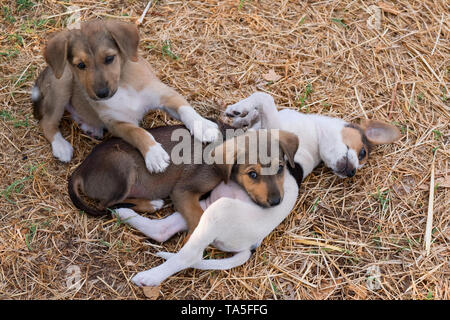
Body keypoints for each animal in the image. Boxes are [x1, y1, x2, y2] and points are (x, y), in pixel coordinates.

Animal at [31, 19, 218, 172]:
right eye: (81, 65)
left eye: (109, 58)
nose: (102, 94)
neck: (122, 85)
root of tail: (48, 70)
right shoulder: (117, 123)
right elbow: (138, 132)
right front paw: (154, 154)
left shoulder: (164, 94)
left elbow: (186, 109)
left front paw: (203, 126)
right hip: (62, 82)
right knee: (47, 122)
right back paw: (61, 146)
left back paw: (90, 127)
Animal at [67, 122, 298, 238]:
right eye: (252, 174)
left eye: (280, 168)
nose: (276, 202)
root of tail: (80, 169)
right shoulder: (183, 190)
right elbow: (198, 218)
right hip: (123, 166)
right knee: (107, 204)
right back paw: (150, 204)